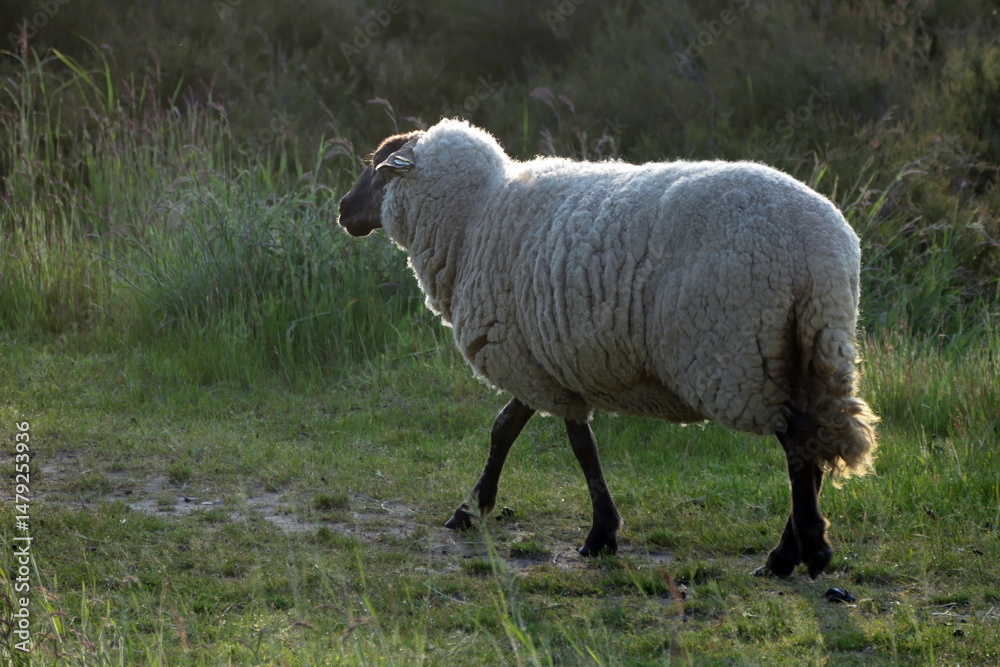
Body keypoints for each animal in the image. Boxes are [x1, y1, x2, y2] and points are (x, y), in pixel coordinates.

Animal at [338, 118, 879, 578]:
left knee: (798, 445)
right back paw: (792, 551)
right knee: (813, 441)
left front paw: (598, 534)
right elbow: (508, 428)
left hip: (741, 354)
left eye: (378, 168)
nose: (343, 210)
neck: (473, 217)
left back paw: (801, 552)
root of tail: (819, 251)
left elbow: (575, 446)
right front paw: (474, 509)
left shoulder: (528, 358)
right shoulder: (540, 357)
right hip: (810, 344)